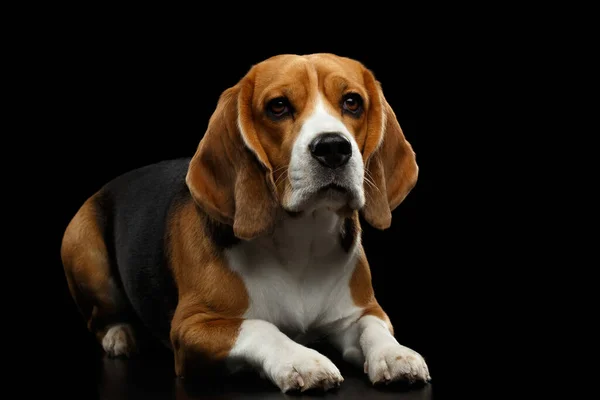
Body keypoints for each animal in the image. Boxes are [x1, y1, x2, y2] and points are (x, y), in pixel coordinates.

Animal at [61, 52, 426, 390]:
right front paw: (302, 360)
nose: (333, 147)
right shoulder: (193, 326)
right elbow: (261, 326)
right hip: (81, 245)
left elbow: (373, 328)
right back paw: (119, 335)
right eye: (278, 106)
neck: (301, 242)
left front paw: (395, 354)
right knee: (99, 318)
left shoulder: (362, 311)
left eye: (352, 102)